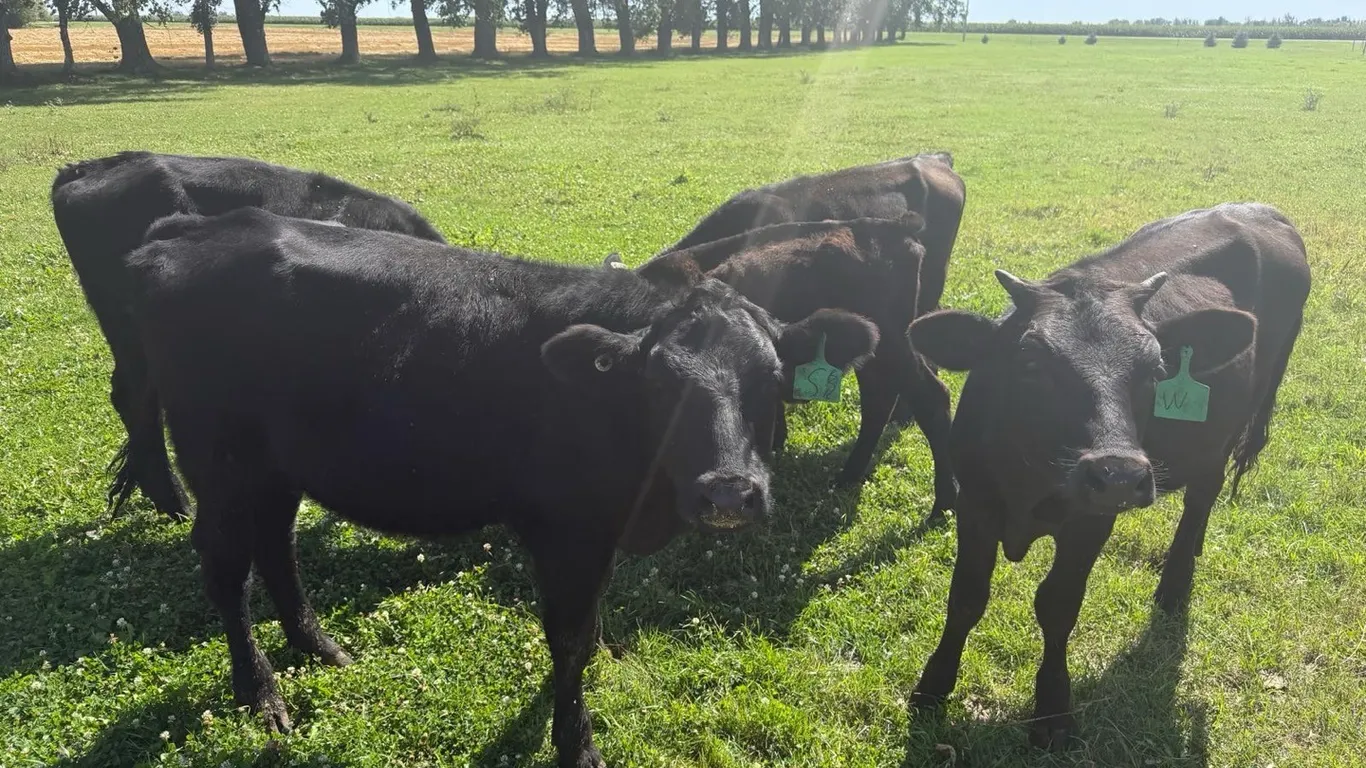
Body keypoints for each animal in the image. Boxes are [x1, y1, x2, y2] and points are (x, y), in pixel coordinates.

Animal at [124, 208, 879, 768]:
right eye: (661, 383)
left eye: (772, 380)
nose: (728, 493)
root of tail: (194, 228)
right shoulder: (567, 531)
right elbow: (568, 638)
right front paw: (576, 742)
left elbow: (589, 629)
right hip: (218, 462)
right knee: (227, 566)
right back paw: (261, 694)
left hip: (275, 465)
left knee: (276, 545)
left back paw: (319, 647)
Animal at [634, 214, 956, 517]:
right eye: (662, 385)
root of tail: (892, 225)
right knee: (880, 399)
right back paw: (849, 476)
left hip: (895, 345)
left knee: (930, 398)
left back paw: (943, 503)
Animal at [905, 203, 1310, 749]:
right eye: (1029, 362)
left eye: (1157, 367)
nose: (1118, 474)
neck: (1027, 480)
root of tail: (1260, 210)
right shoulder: (975, 503)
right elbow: (966, 596)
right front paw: (932, 687)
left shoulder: (1091, 520)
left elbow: (1057, 604)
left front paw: (1053, 709)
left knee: (1203, 493)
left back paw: (1174, 585)